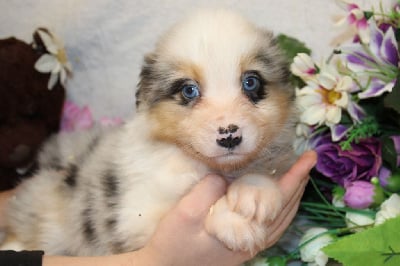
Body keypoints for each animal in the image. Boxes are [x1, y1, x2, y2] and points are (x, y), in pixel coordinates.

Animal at [2, 9, 296, 256]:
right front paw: (234, 221)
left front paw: (254, 191)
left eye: (251, 82)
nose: (229, 136)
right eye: (189, 90)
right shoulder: (136, 216)